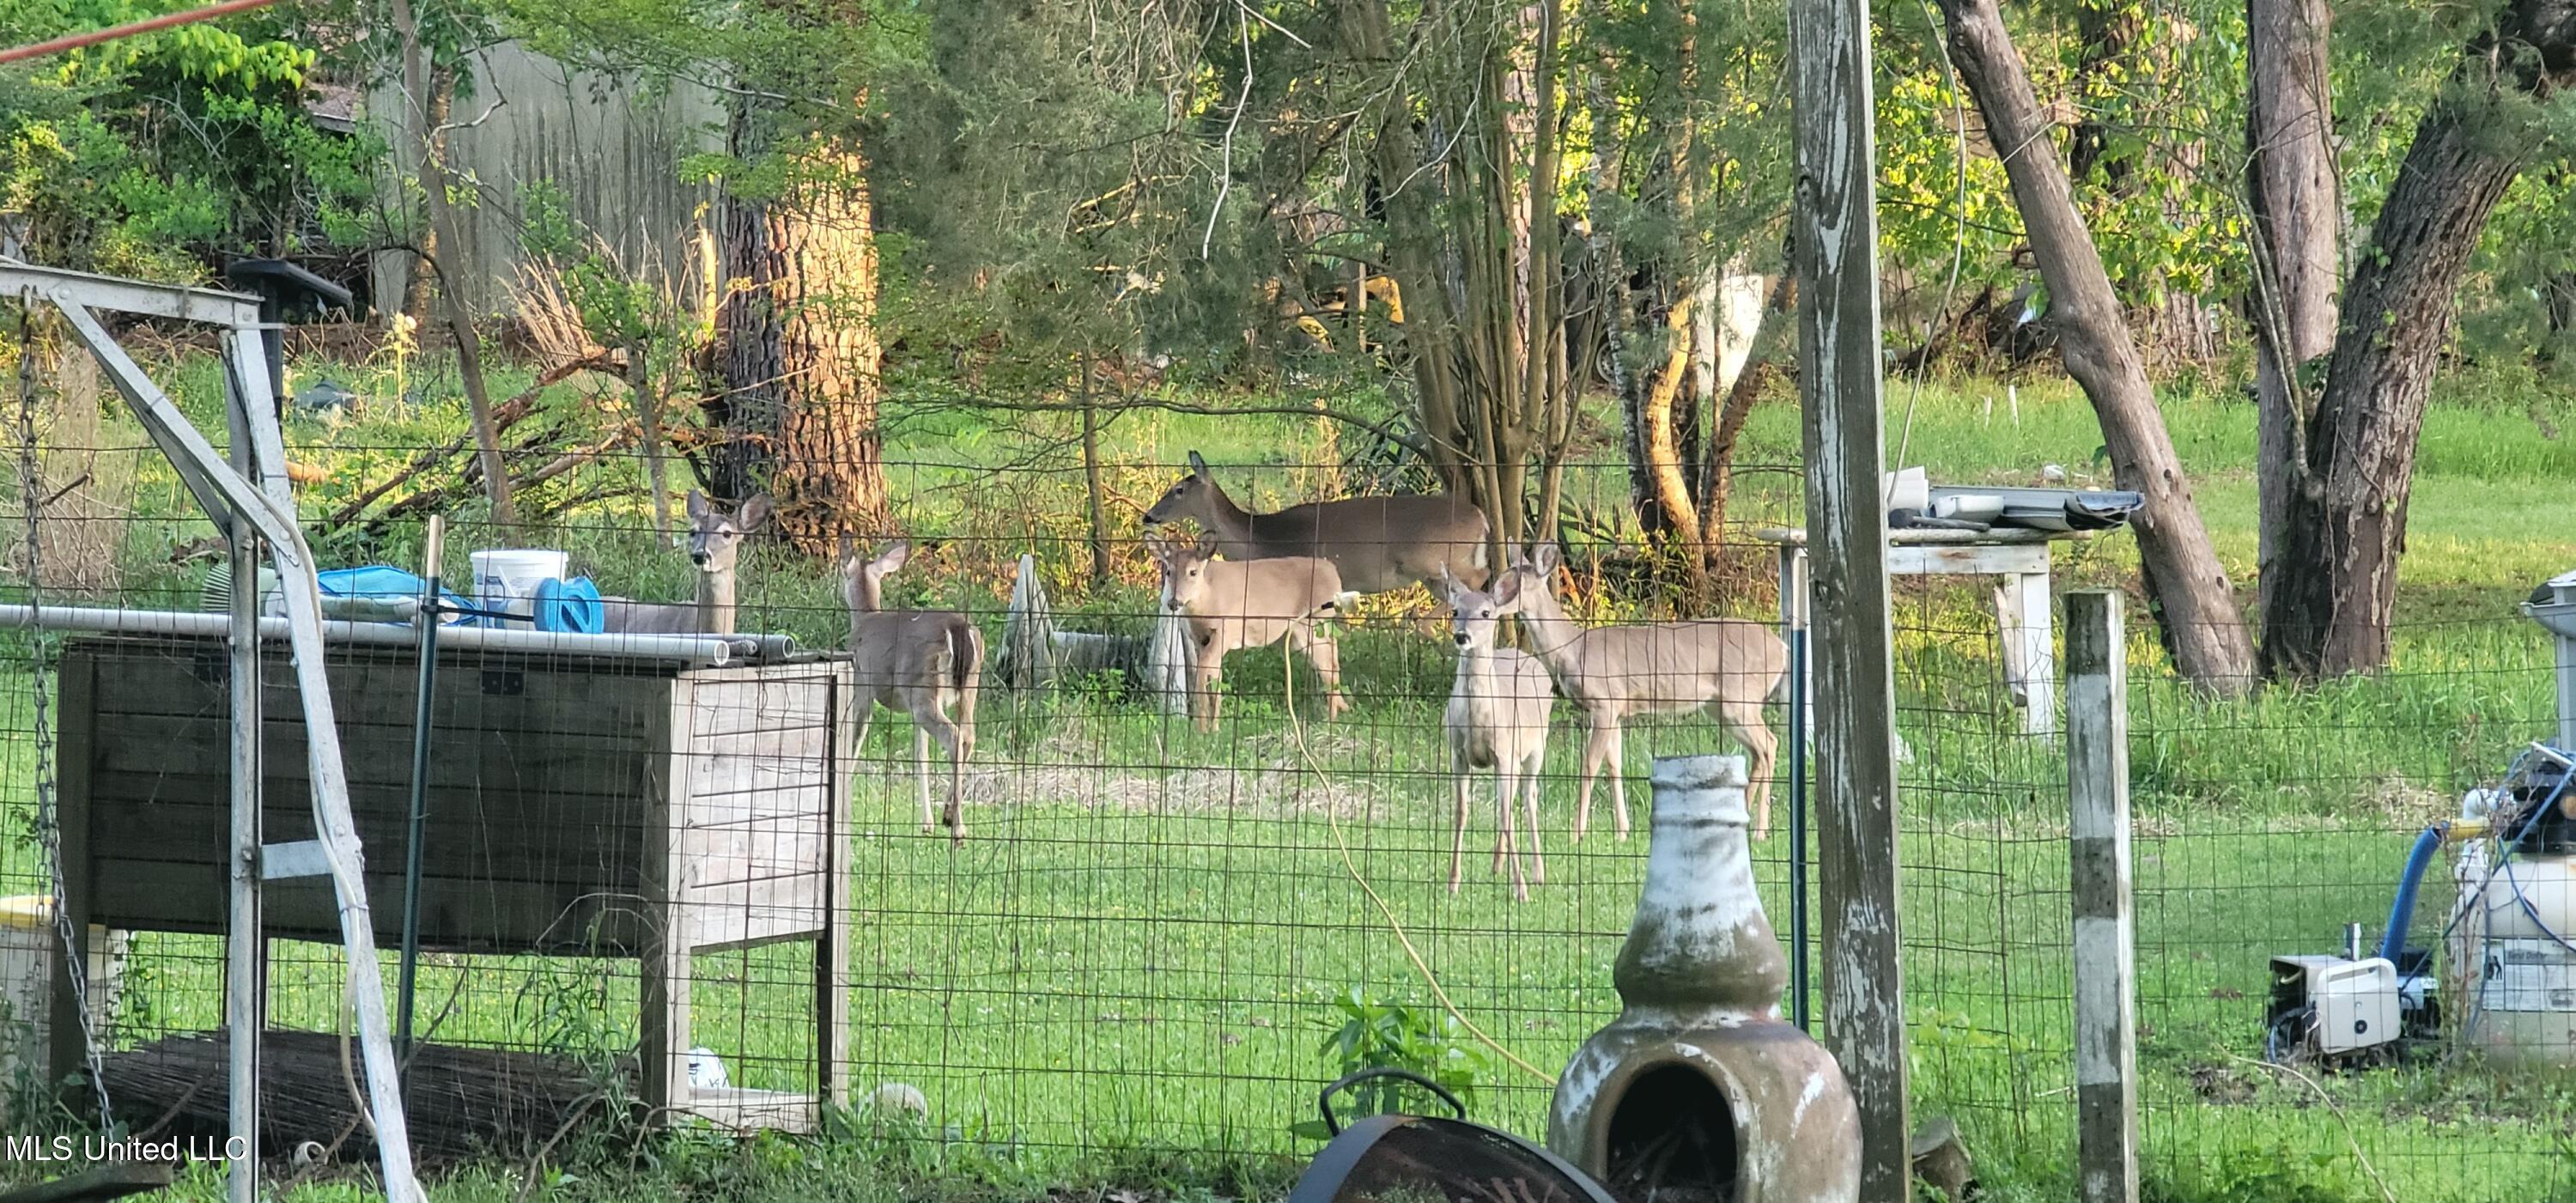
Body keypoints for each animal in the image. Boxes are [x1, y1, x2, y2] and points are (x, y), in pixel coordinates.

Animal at [841, 539, 984, 844]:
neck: (865, 617)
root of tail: (958, 628)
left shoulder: (862, 681)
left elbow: (856, 736)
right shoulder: (910, 708)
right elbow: (921, 756)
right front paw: (926, 823)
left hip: (923, 688)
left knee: (954, 736)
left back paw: (958, 829)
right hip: (964, 688)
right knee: (968, 736)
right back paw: (948, 814)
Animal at [1143, 451, 1490, 595]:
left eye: (1178, 489)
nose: (1148, 515)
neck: (1261, 537)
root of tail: (1483, 518)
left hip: (1436, 558)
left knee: (1482, 576)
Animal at [1147, 532, 1348, 732]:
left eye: (1193, 572)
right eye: (1169, 571)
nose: (1174, 602)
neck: (1207, 601)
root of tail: (1335, 575)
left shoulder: (1226, 630)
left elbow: (1204, 672)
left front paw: (1201, 730)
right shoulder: (1200, 639)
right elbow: (1215, 682)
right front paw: (1214, 730)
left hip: (1311, 625)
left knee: (1329, 666)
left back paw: (1330, 722)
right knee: (1333, 657)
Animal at [1440, 567, 1555, 902]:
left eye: (1485, 612)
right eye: (1455, 611)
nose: (1462, 636)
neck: (1480, 721)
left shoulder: (1505, 753)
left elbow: (1506, 815)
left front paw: (1521, 890)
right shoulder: (1458, 752)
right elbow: (1462, 811)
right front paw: (1453, 882)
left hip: (1536, 747)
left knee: (1529, 797)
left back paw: (1538, 874)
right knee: (1511, 800)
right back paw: (1497, 864)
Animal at [1505, 543, 1789, 841]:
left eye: (1519, 582)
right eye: (1504, 574)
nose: (1493, 601)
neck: (1571, 648)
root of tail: (1782, 648)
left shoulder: (1603, 703)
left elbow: (1590, 765)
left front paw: (1577, 835)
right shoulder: (1616, 711)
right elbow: (1614, 765)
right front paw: (1622, 832)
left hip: (1741, 697)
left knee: (1769, 744)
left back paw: (1760, 831)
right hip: (1720, 707)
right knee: (1758, 751)